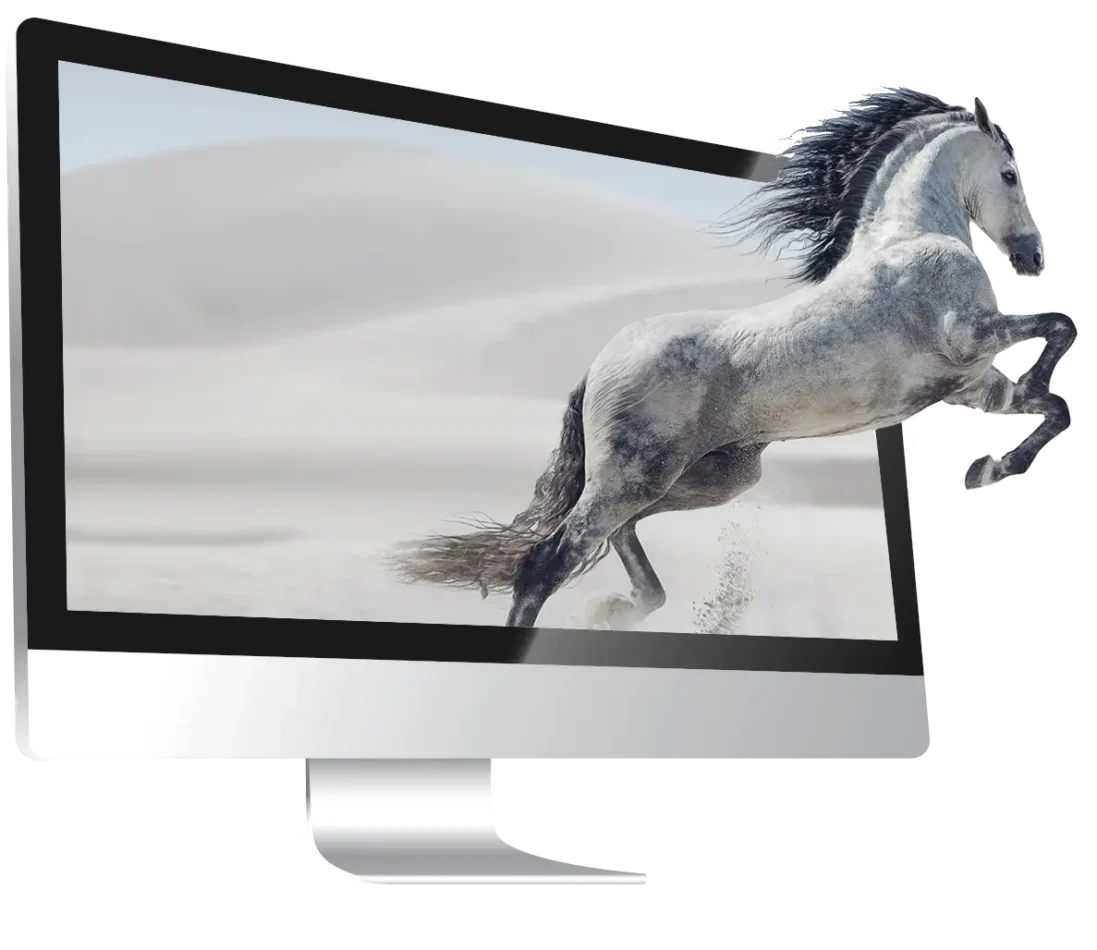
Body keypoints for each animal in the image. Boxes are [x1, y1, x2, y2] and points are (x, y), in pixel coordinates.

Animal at [389, 88, 1076, 632]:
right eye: (1010, 174)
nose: (1032, 259)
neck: (911, 237)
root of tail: (598, 366)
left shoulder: (971, 386)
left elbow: (1051, 403)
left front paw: (990, 468)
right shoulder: (969, 336)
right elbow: (1060, 326)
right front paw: (992, 466)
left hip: (704, 479)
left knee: (618, 536)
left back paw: (618, 609)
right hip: (632, 477)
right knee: (547, 562)